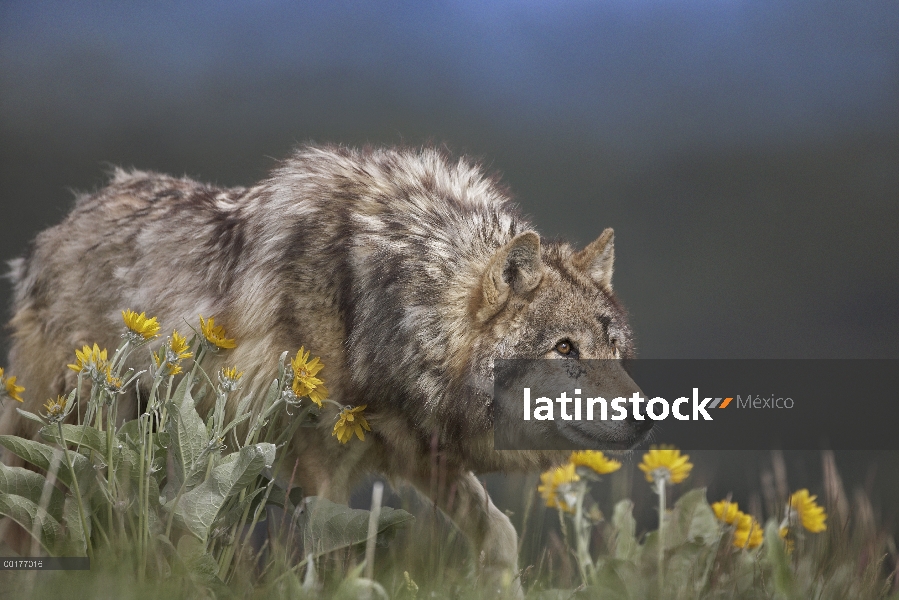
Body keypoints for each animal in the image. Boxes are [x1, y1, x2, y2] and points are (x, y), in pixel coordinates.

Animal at [0, 146, 648, 592]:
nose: (645, 419)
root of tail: (54, 231)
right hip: (74, 440)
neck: (387, 304)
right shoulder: (322, 470)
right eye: (565, 349)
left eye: (613, 349)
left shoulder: (425, 454)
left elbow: (502, 536)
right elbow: (335, 560)